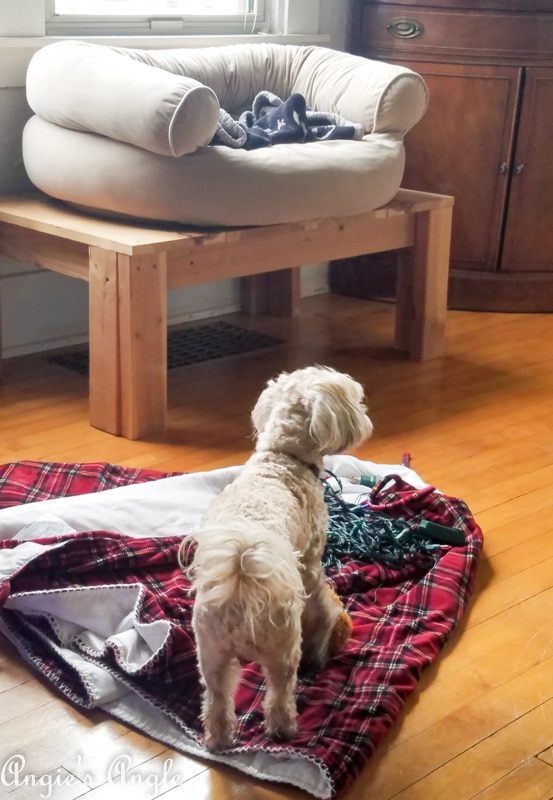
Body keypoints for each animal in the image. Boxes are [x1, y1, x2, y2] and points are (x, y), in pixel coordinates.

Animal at [179, 366, 374, 752]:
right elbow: (320, 599)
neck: (281, 457)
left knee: (217, 698)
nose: (365, 414)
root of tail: (241, 579)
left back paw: (219, 739)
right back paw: (284, 729)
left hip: (210, 651)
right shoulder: (310, 560)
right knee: (281, 691)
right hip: (283, 646)